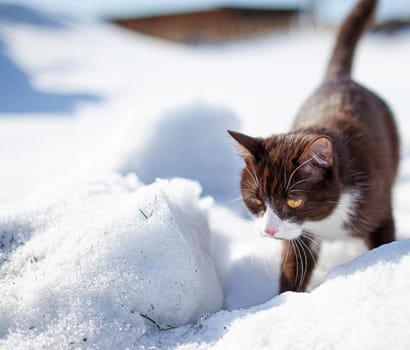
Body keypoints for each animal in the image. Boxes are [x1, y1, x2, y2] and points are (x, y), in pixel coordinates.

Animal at [227, 0, 398, 292]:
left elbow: (384, 240)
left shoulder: (377, 205)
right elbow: (294, 265)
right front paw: (284, 300)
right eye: (256, 200)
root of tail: (339, 79)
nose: (270, 230)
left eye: (294, 200)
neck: (326, 221)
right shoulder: (300, 236)